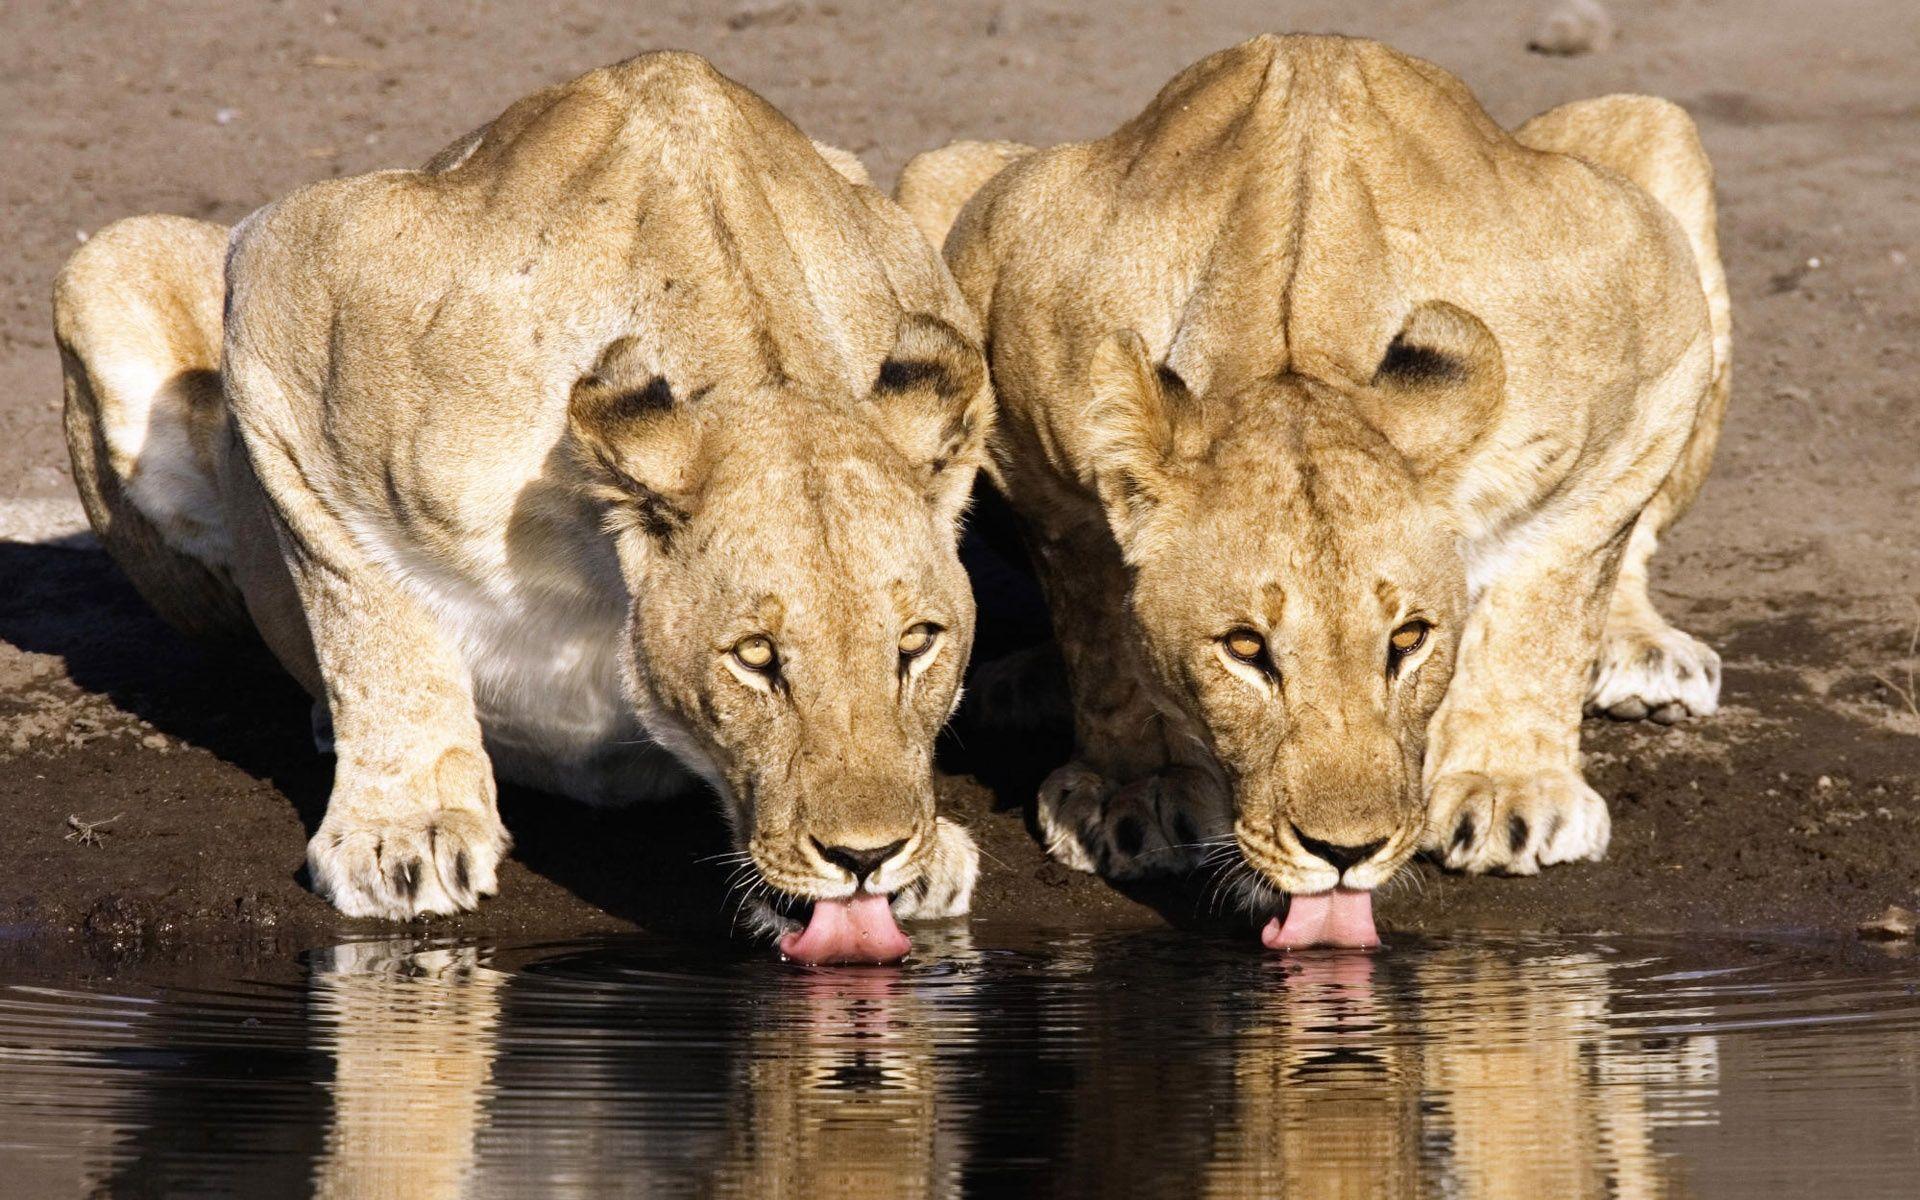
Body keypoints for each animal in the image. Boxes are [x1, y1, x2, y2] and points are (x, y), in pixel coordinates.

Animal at [54, 52, 994, 960]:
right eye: (755, 657)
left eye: (917, 643)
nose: (868, 856)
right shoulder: (286, 289)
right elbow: (368, 619)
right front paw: (407, 829)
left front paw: (931, 850)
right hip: (105, 266)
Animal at [898, 35, 1731, 945]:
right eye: (1244, 649)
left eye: (1409, 639)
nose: (1344, 852)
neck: (1297, 346)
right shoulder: (1023, 385)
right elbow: (1102, 636)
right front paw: (1139, 788)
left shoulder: (1648, 323)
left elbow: (1551, 601)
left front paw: (1508, 786)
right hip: (940, 176)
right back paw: (1025, 683)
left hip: (1651, 130)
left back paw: (1644, 659)